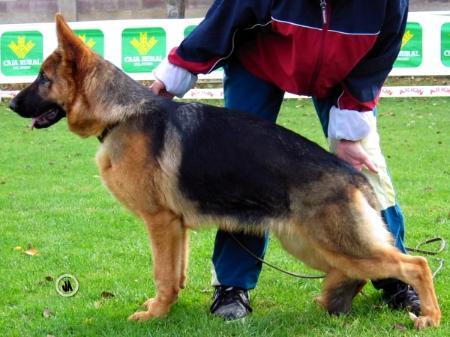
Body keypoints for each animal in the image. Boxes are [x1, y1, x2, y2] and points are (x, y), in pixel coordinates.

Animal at [9, 16, 440, 328]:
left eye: (43, 79)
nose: (11, 104)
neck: (122, 114)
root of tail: (351, 174)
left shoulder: (159, 222)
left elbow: (162, 273)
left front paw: (154, 315)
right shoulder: (175, 227)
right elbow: (176, 274)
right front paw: (165, 308)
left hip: (332, 242)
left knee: (414, 264)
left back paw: (429, 316)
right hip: (308, 243)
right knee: (356, 272)